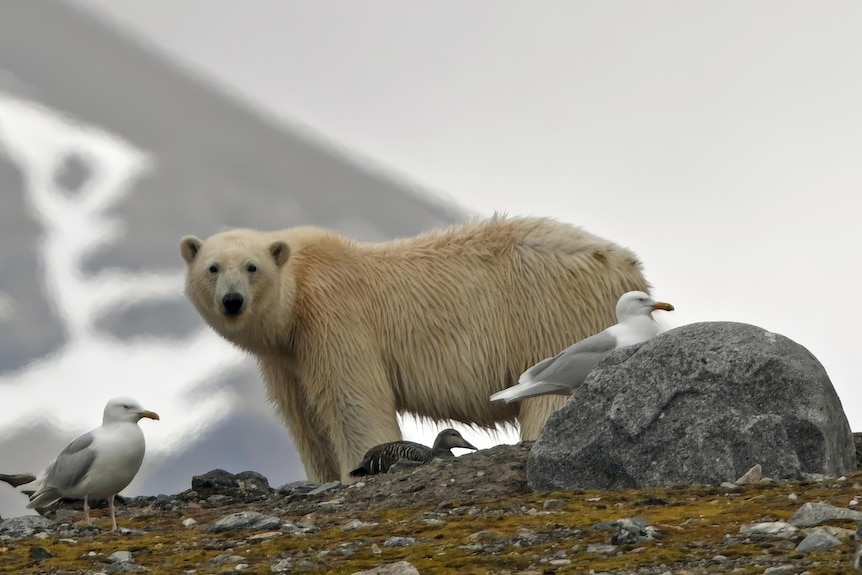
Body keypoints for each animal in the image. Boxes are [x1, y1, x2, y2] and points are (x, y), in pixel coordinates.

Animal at [180, 216, 650, 482]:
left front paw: (357, 470)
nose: (233, 301)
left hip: (555, 316)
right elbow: (305, 422)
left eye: (252, 267)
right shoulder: (285, 356)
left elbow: (353, 406)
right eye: (212, 268)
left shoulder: (336, 320)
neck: (300, 287)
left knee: (549, 395)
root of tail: (629, 267)